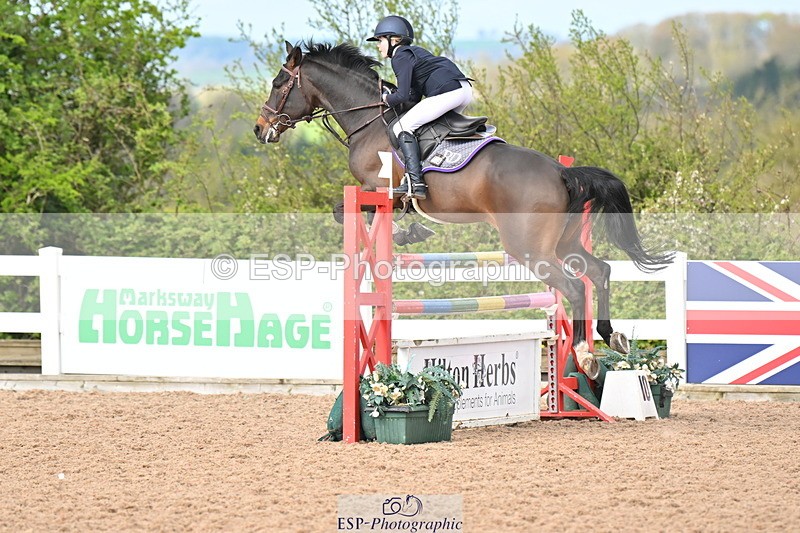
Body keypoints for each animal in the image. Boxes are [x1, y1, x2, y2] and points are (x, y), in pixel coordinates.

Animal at [253, 41, 673, 349]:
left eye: (277, 83)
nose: (260, 129)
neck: (367, 120)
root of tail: (561, 172)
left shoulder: (377, 191)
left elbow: (346, 212)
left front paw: (406, 234)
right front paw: (411, 233)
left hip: (530, 249)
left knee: (572, 286)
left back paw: (584, 350)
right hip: (565, 242)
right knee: (599, 272)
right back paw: (610, 336)